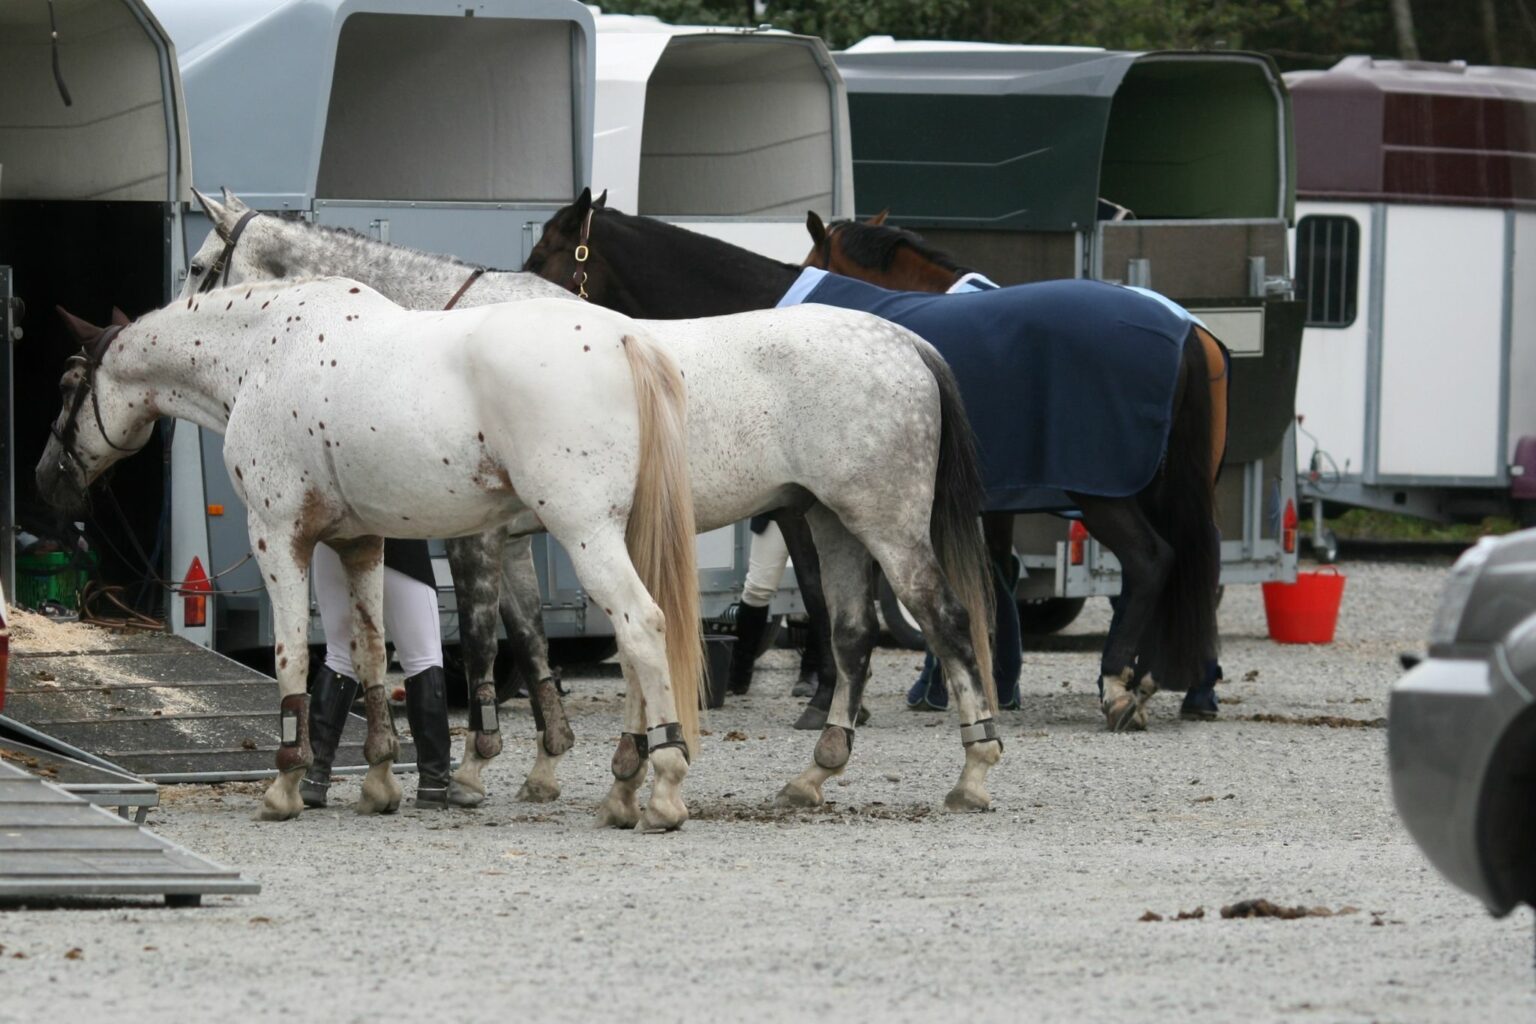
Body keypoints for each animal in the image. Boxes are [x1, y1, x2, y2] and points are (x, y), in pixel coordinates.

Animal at [36, 280, 703, 835]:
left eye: (68, 388)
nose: (48, 483)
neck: (263, 355)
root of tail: (625, 338)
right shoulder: (359, 543)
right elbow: (370, 654)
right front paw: (379, 782)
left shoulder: (277, 535)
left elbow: (290, 659)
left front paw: (285, 784)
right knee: (638, 642)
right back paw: (623, 791)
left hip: (584, 531)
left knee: (643, 627)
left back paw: (664, 790)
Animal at [528, 191, 1222, 733]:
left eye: (543, 256)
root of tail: (1182, 329)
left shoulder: (801, 508)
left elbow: (819, 592)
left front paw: (832, 698)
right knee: (1189, 564)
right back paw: (1171, 683)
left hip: (1104, 493)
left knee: (1151, 560)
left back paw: (1120, 684)